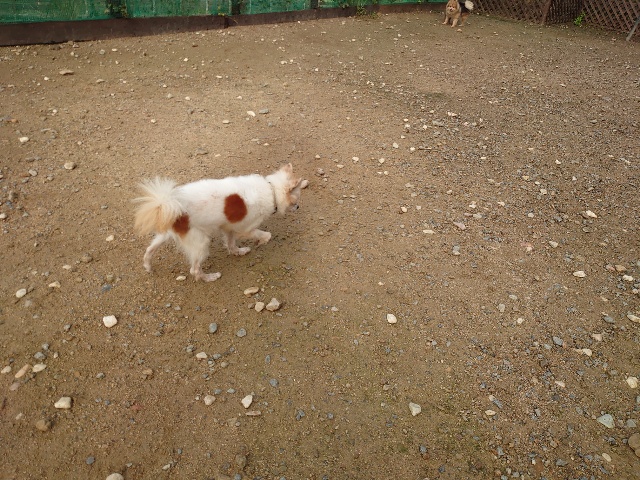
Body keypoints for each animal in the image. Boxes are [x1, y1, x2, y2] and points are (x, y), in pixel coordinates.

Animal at [134, 163, 307, 282]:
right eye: (297, 200)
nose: (299, 207)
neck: (272, 190)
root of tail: (169, 201)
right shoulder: (245, 228)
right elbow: (265, 234)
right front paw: (262, 241)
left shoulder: (229, 227)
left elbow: (230, 243)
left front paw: (238, 252)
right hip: (201, 242)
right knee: (194, 270)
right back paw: (210, 277)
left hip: (166, 234)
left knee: (149, 250)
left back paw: (148, 266)